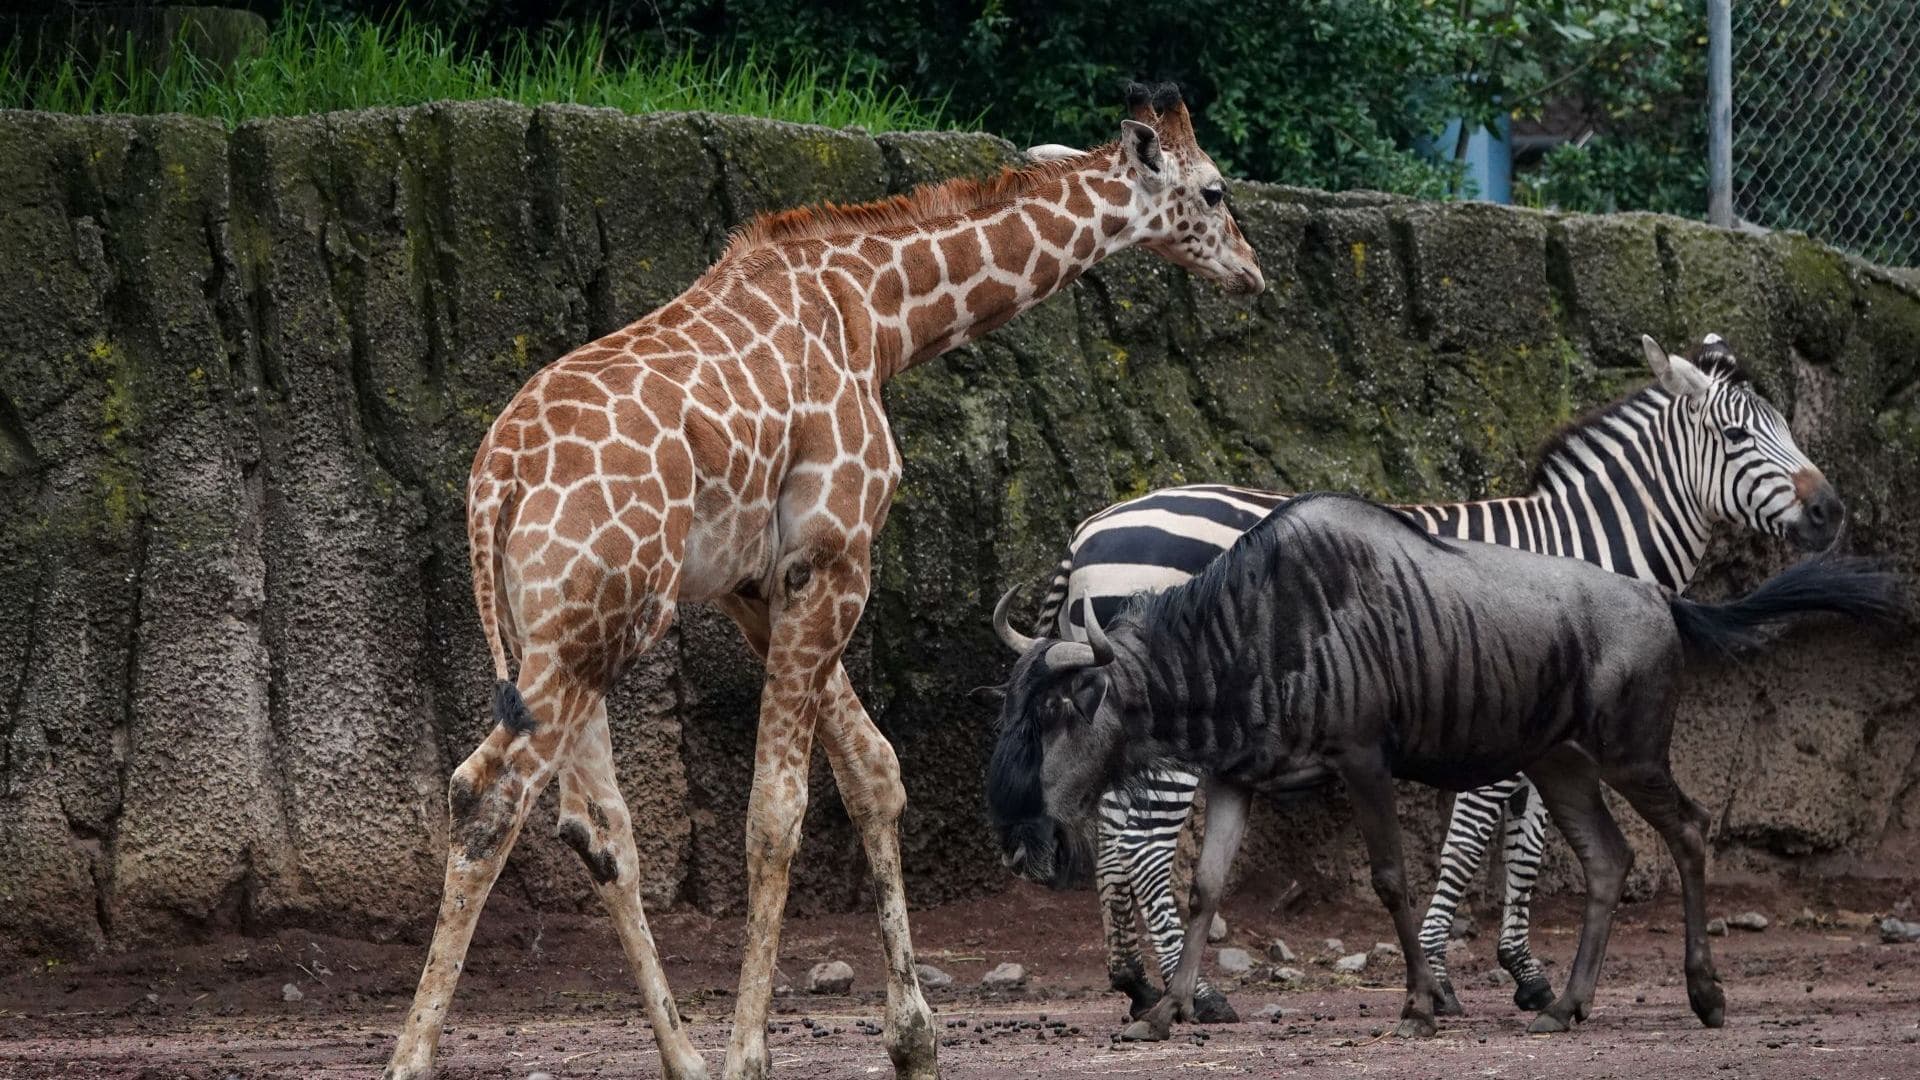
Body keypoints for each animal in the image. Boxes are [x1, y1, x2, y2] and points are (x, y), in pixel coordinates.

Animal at [384, 83, 1264, 1080]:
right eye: (1216, 190)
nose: (1252, 274)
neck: (877, 313)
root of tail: (496, 477)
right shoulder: (837, 554)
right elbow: (780, 810)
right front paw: (751, 1054)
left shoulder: (761, 583)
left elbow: (874, 771)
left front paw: (913, 1042)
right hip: (588, 634)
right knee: (488, 793)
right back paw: (414, 1057)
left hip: (569, 628)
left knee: (594, 825)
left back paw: (680, 1058)